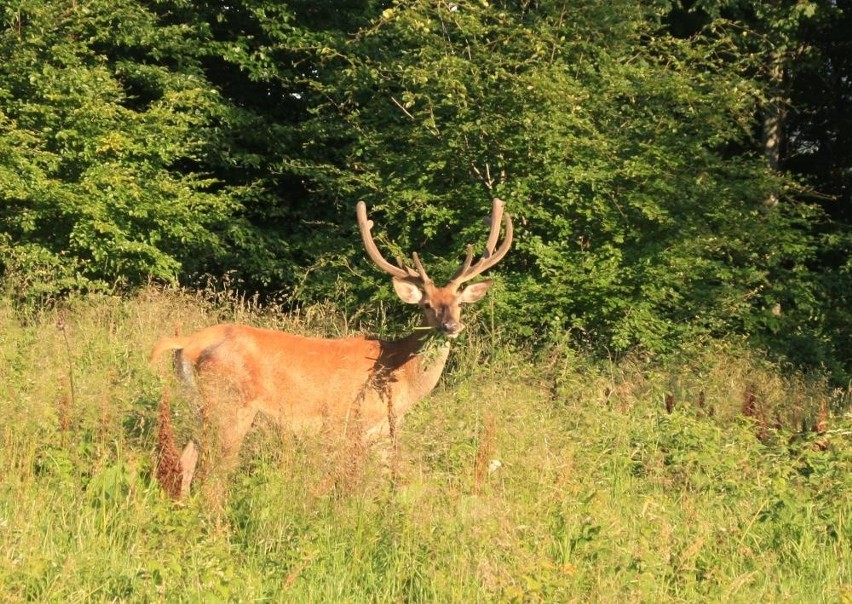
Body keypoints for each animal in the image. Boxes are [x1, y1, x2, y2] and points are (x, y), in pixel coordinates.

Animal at [151, 198, 512, 496]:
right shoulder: (348, 422)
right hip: (230, 405)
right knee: (212, 472)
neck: (399, 374)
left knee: (186, 462)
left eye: (459, 304)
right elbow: (346, 481)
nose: (450, 326)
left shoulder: (381, 434)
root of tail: (188, 343)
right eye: (426, 305)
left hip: (199, 406)